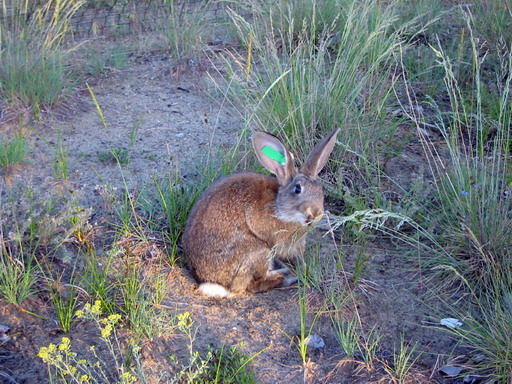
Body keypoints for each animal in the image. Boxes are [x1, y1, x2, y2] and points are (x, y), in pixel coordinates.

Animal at [181, 128, 340, 296]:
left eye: (320, 191)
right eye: (298, 189)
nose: (315, 213)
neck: (279, 206)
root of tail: (216, 284)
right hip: (258, 253)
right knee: (255, 284)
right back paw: (285, 276)